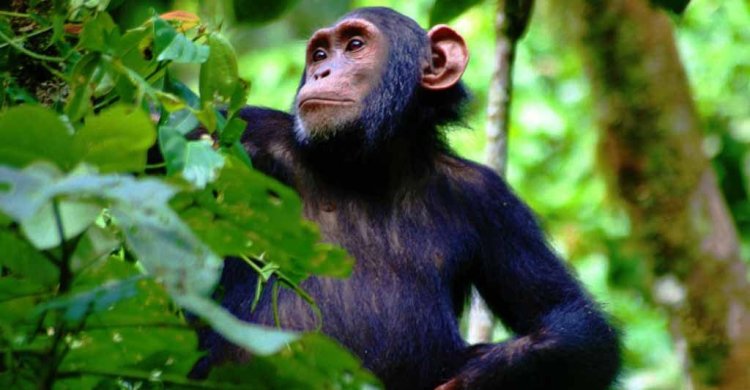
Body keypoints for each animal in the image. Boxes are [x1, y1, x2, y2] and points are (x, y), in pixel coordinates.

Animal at [192, 6, 624, 390]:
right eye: (319, 54)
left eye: (354, 45)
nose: (321, 71)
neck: (369, 165)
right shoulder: (244, 133)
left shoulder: (490, 200)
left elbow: (573, 320)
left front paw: (477, 373)